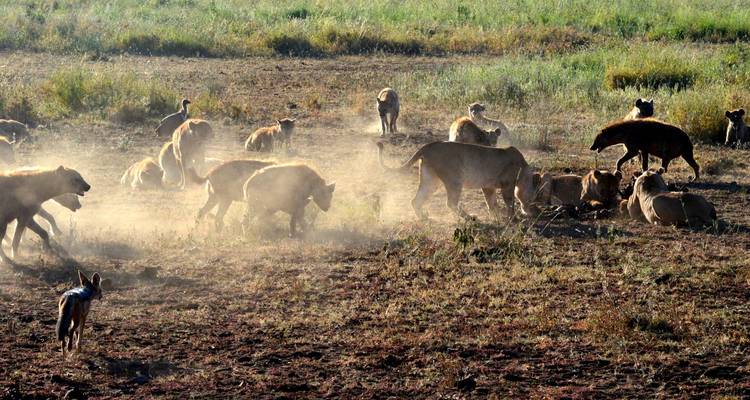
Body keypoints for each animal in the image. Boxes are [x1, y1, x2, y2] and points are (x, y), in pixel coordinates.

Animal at [376, 141, 538, 221]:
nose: (530, 210)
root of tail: (429, 146)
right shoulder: (507, 185)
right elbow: (509, 202)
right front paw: (513, 217)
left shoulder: (488, 186)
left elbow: (491, 202)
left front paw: (496, 215)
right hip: (454, 180)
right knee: (451, 203)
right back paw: (470, 217)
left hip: (430, 181)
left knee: (415, 200)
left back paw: (424, 218)